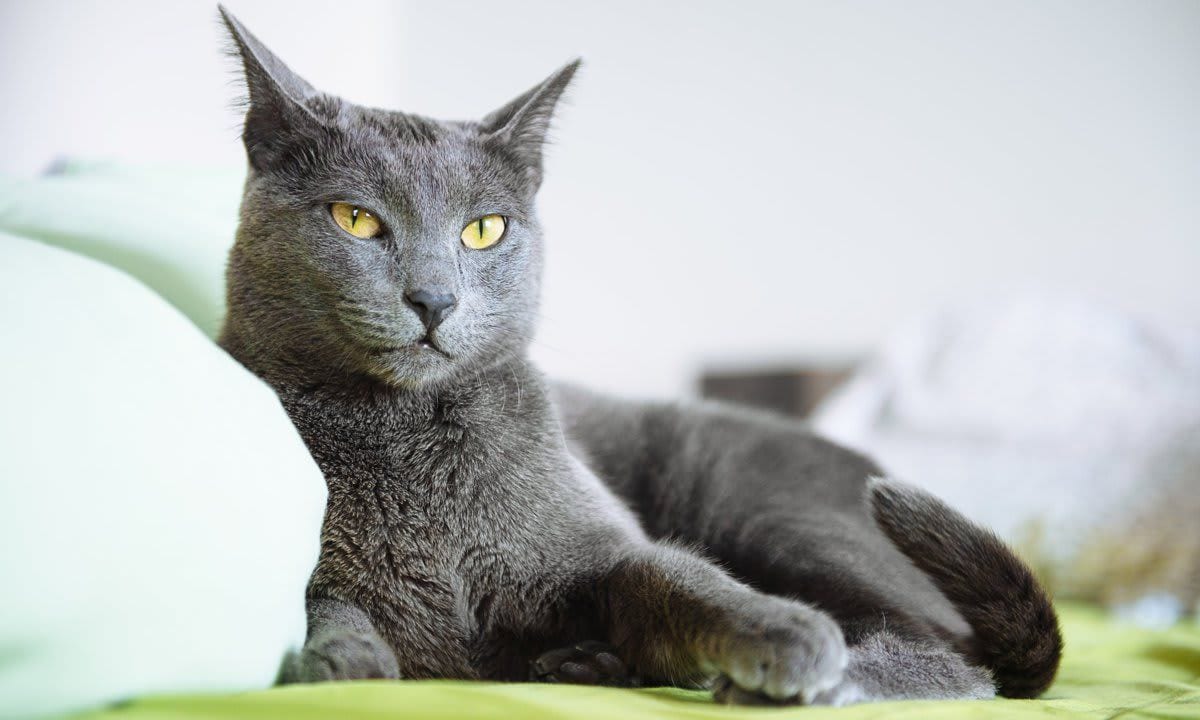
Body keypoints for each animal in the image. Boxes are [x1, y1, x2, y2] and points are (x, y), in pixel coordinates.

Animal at [216, 8, 1060, 705]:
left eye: (483, 230)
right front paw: (341, 660)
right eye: (356, 219)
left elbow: (671, 575)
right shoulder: (327, 574)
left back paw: (820, 683)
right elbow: (324, 604)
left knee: (958, 660)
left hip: (756, 501)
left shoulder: (603, 546)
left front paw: (783, 634)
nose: (434, 299)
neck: (406, 434)